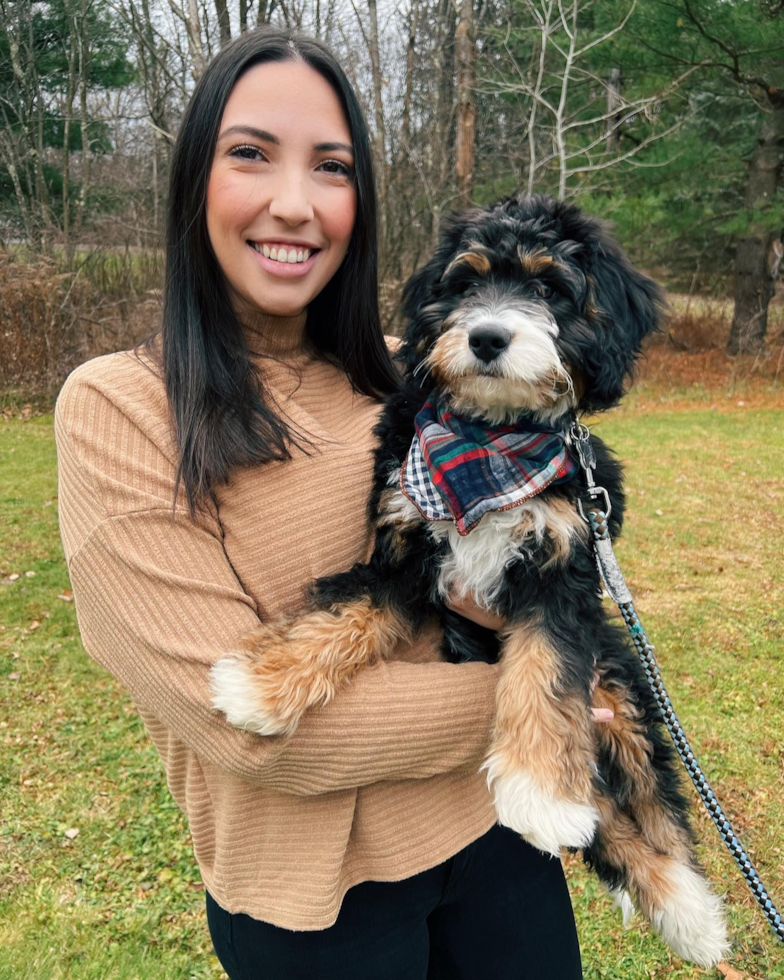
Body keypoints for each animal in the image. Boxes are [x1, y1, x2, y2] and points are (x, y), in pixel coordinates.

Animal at [208, 191, 728, 964]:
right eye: (466, 281)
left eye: (550, 288)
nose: (486, 337)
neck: (491, 445)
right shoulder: (404, 549)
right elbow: (351, 610)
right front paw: (264, 681)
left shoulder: (564, 572)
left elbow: (542, 670)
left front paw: (539, 790)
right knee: (609, 816)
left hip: (620, 684)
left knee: (652, 798)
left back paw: (689, 910)